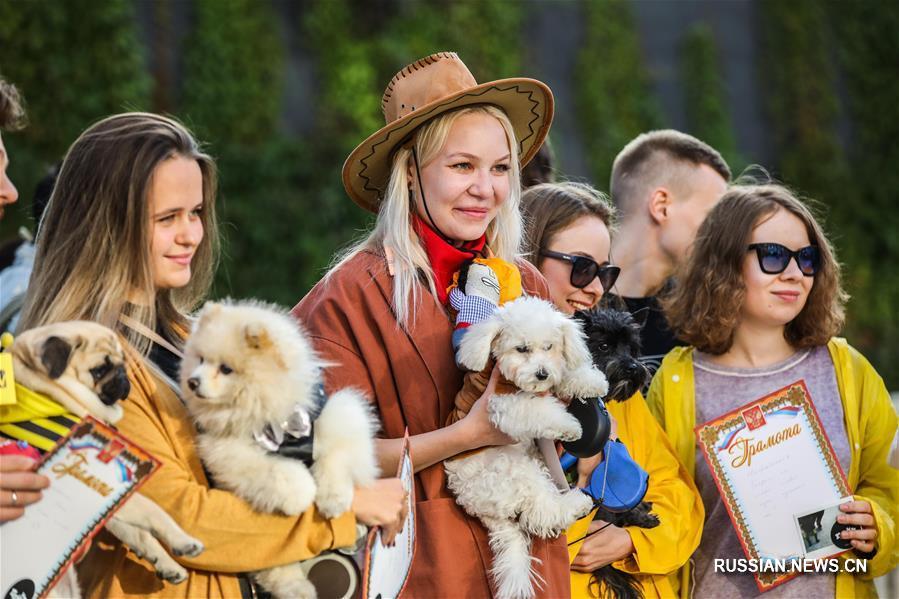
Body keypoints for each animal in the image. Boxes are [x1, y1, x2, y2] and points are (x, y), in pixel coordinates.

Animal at [8, 322, 203, 592]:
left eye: (122, 361)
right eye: (99, 370)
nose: (123, 375)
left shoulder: (108, 504)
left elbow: (140, 534)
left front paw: (166, 563)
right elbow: (154, 513)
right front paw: (183, 541)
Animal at [183, 302, 380, 596]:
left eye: (226, 369)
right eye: (200, 360)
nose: (193, 381)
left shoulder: (335, 417)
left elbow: (335, 459)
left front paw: (333, 499)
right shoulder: (228, 449)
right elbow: (278, 472)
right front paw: (301, 494)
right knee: (274, 568)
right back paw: (298, 589)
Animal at [446, 298, 608, 599]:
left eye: (549, 347)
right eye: (521, 349)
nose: (541, 374)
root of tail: (478, 508)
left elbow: (565, 375)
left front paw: (591, 381)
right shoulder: (503, 405)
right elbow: (537, 410)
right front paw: (568, 425)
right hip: (515, 471)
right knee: (542, 513)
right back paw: (576, 503)